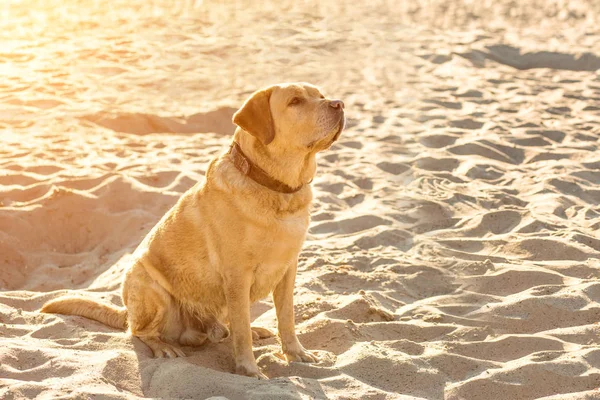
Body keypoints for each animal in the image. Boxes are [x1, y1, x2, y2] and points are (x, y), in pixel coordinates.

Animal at [39, 82, 344, 378]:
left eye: (321, 95)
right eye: (295, 101)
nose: (339, 104)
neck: (276, 189)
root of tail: (125, 312)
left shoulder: (288, 269)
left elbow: (286, 317)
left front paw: (296, 353)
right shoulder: (237, 276)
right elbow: (242, 331)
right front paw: (248, 369)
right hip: (153, 291)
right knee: (140, 332)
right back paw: (164, 347)